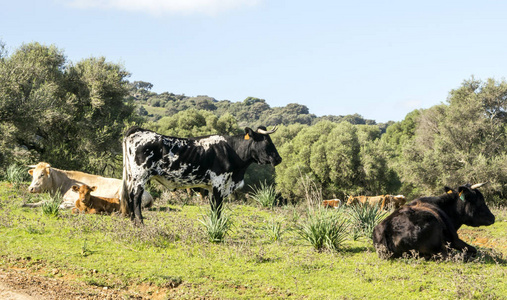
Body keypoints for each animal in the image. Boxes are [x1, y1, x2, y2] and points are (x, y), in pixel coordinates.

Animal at [121, 125, 284, 224]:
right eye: (266, 141)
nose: (278, 159)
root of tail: (138, 130)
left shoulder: (212, 187)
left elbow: (213, 207)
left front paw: (214, 224)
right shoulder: (219, 183)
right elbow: (218, 207)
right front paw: (217, 225)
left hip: (132, 177)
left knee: (129, 196)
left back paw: (132, 221)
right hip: (140, 176)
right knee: (136, 197)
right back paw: (140, 222)